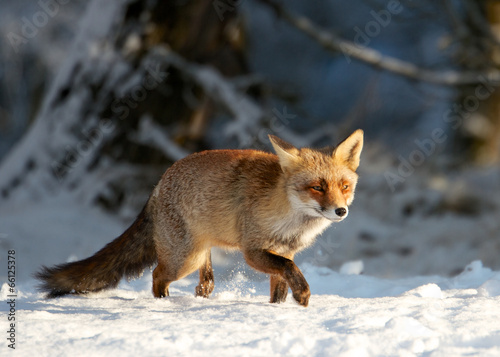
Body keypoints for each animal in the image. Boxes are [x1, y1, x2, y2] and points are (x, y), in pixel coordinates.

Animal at [35, 131, 364, 306]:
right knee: (156, 274)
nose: (341, 211)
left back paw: (198, 295)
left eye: (344, 187)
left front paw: (281, 309)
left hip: (199, 254)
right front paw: (303, 294)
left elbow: (281, 285)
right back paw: (164, 302)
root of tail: (159, 182)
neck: (288, 218)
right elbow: (290, 269)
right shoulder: (254, 251)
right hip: (184, 259)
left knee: (203, 281)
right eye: (317, 187)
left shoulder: (284, 250)